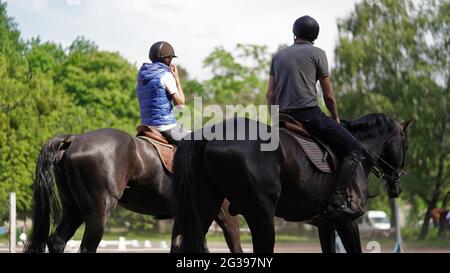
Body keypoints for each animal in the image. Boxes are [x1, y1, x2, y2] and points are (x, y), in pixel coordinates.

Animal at [24, 127, 243, 251]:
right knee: (87, 247)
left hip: (73, 209)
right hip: (98, 212)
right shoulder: (222, 215)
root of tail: (75, 139)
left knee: (57, 241)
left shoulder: (184, 217)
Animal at [173, 112, 412, 251]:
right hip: (260, 215)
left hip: (205, 208)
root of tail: (207, 135)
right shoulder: (347, 222)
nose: (397, 184)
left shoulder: (325, 224)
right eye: (405, 143)